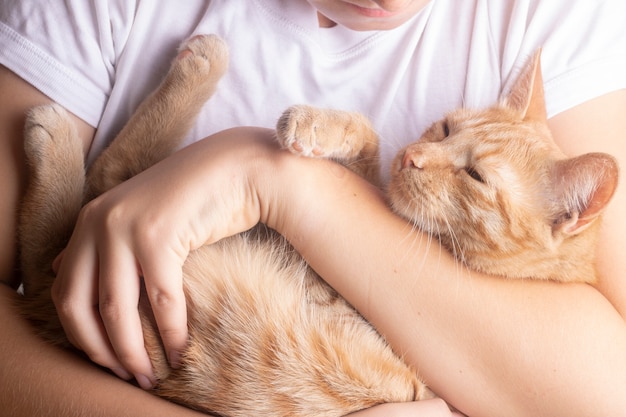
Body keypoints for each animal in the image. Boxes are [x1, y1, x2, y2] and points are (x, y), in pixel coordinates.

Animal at [14, 35, 616, 416]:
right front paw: (327, 127)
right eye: (445, 128)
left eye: (475, 176)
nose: (413, 158)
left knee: (79, 213)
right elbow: (368, 141)